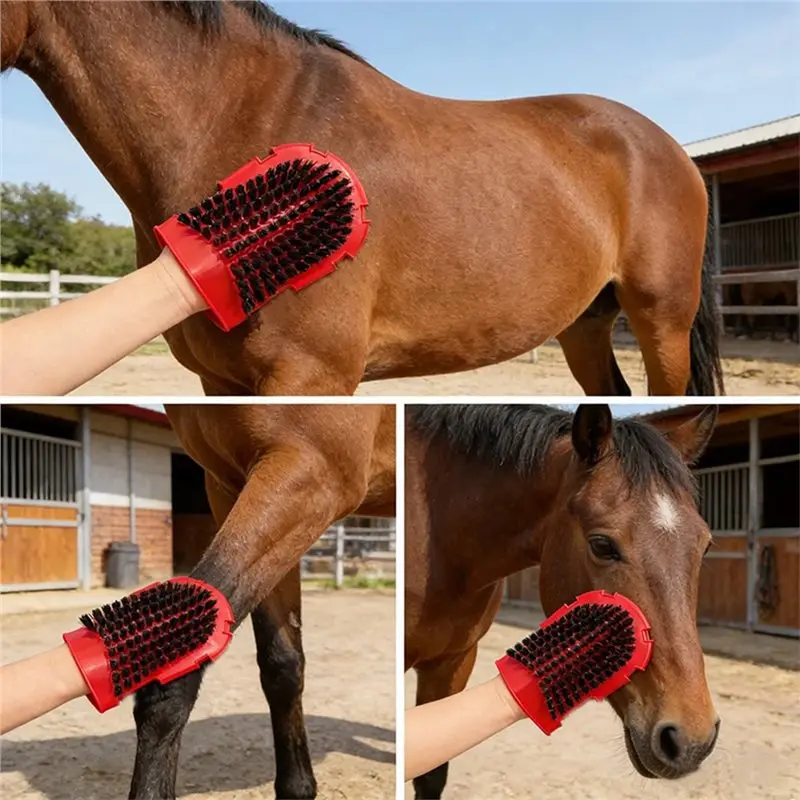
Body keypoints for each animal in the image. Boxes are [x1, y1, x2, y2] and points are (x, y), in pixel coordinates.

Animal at [0, 0, 723, 396]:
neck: (236, 118)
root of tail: (665, 146)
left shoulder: (310, 377)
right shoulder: (221, 383)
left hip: (662, 320)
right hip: (585, 323)